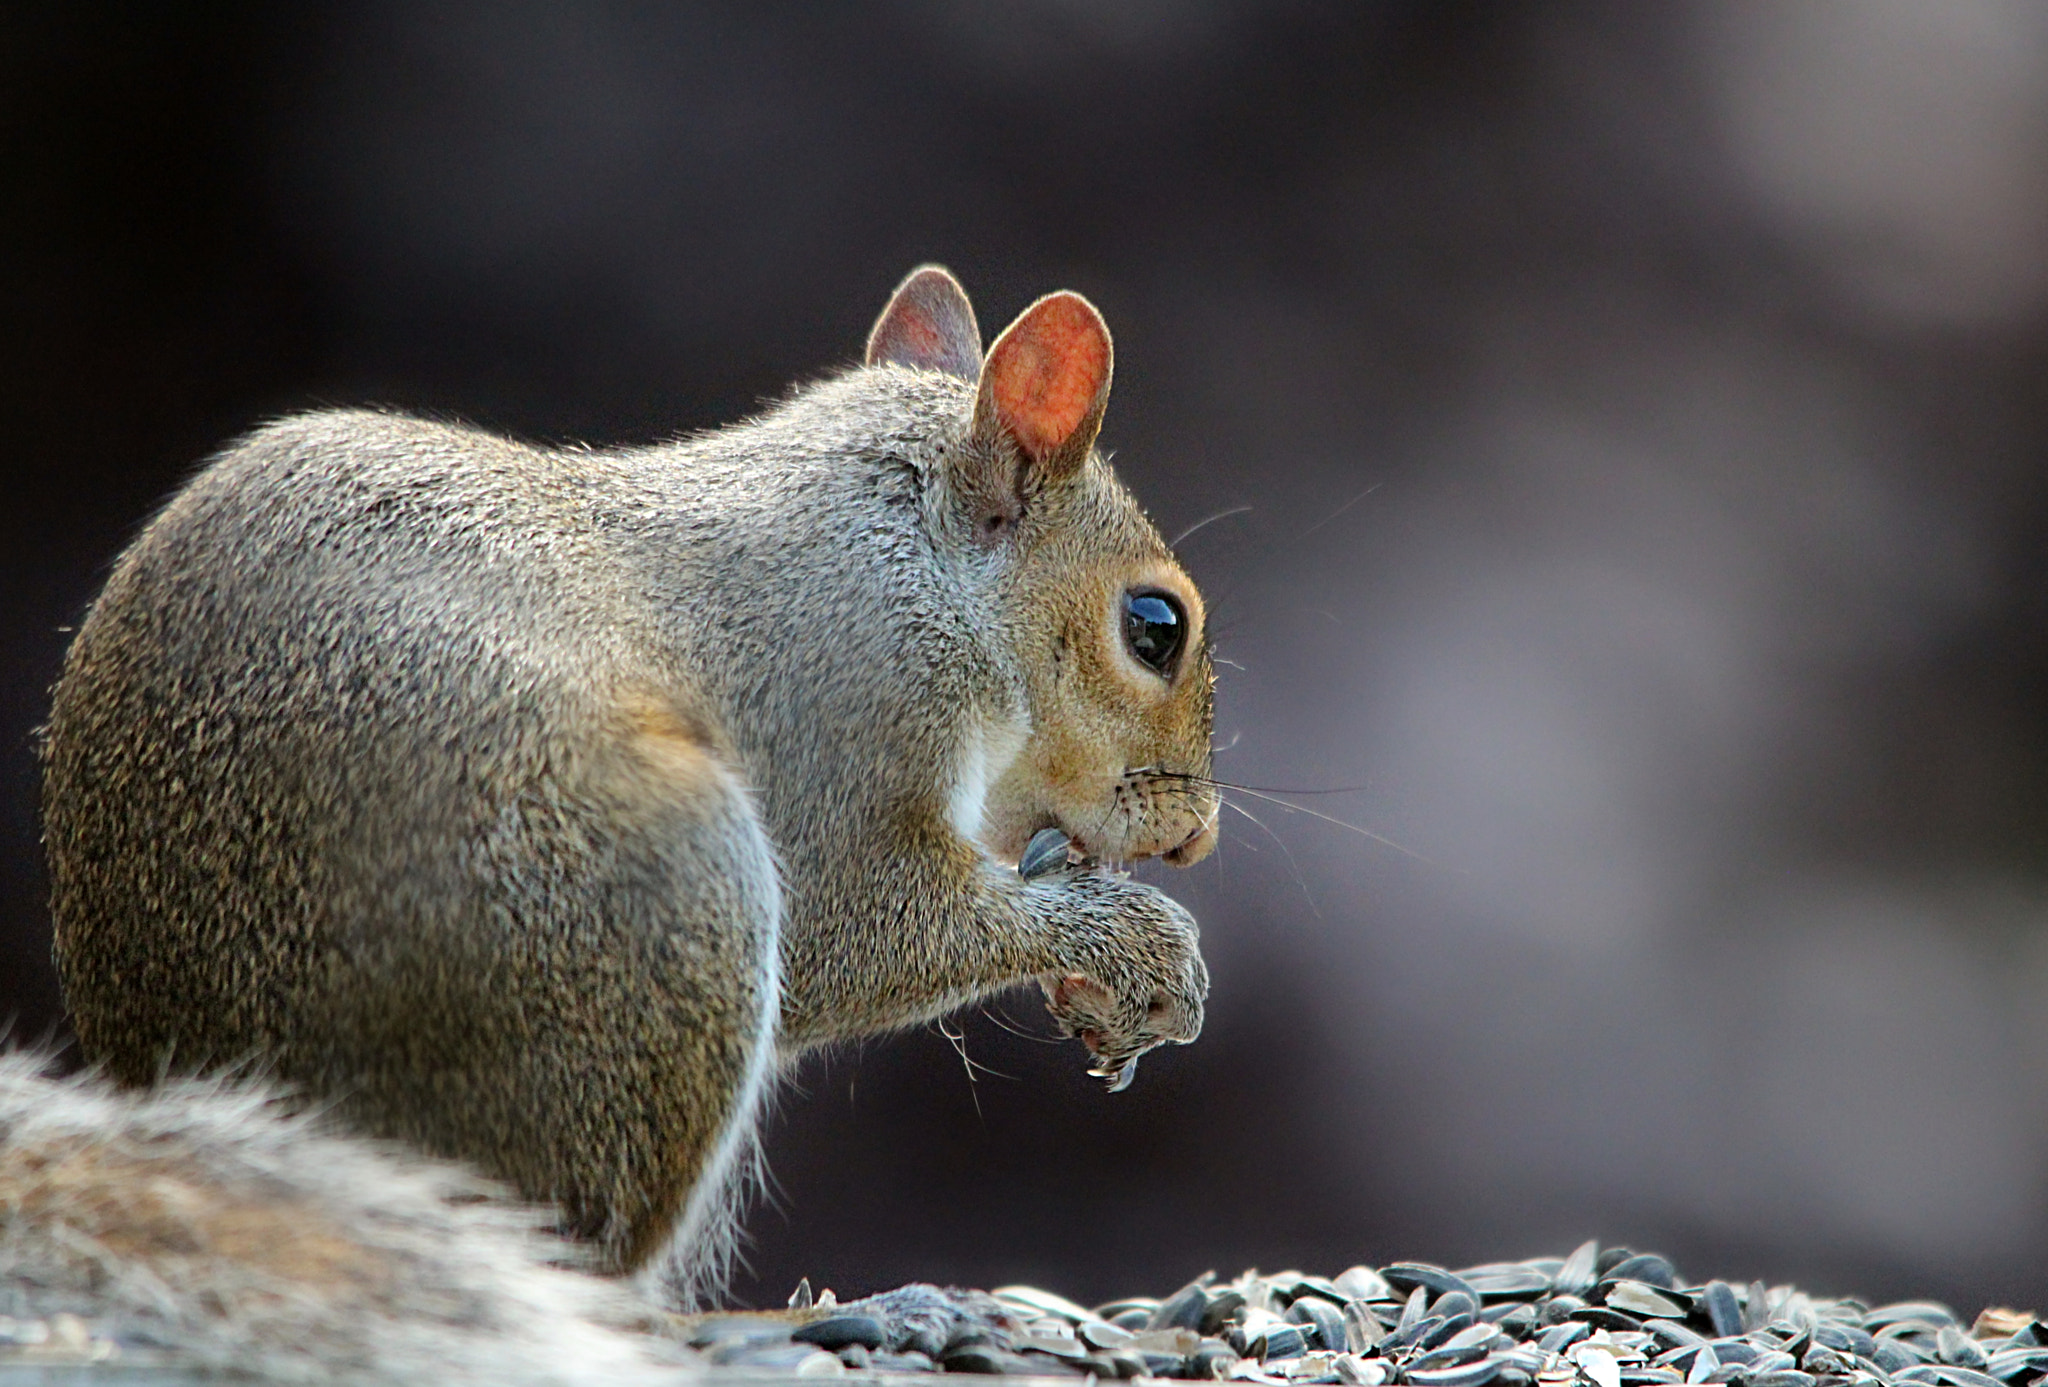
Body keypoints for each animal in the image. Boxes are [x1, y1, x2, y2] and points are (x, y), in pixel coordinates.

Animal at [12, 268, 1212, 1360]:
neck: (914, 560)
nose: (1195, 836)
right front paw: (1137, 944)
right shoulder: (846, 720)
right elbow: (858, 929)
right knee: (592, 1269)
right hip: (661, 898)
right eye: (1154, 626)